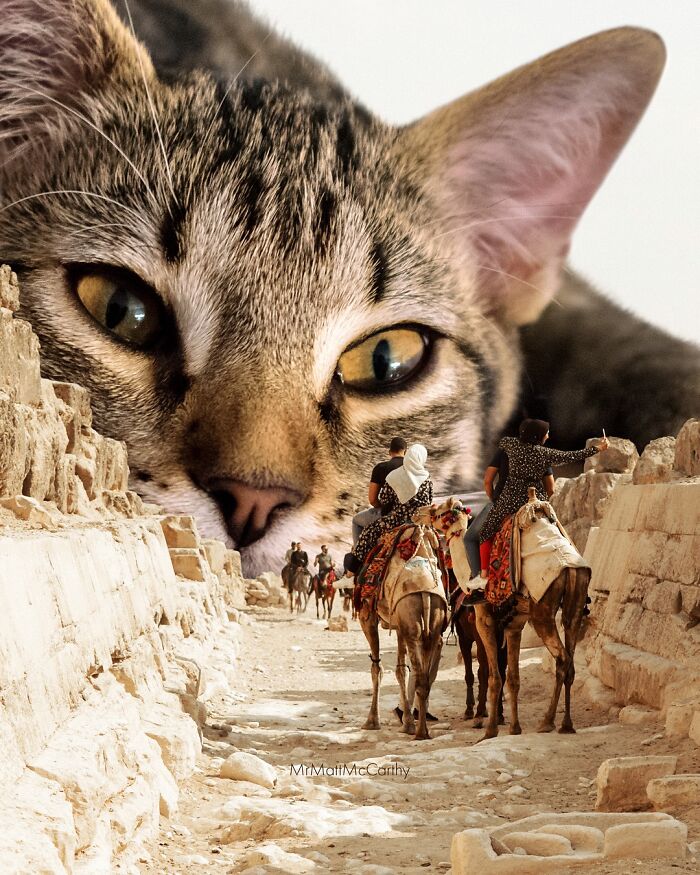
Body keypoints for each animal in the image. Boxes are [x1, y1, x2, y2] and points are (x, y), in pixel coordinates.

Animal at [356, 523, 447, 740]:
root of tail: (425, 592)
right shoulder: (399, 625)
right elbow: (400, 670)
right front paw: (406, 722)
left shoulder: (367, 617)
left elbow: (377, 668)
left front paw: (372, 721)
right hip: (430, 627)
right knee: (423, 679)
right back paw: (422, 730)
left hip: (411, 624)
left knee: (418, 676)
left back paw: (420, 732)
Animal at [423, 494, 590, 741]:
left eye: (437, 510)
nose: (420, 512)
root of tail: (570, 566)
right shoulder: (514, 625)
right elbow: (512, 678)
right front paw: (514, 728)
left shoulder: (484, 622)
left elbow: (492, 676)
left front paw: (490, 729)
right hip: (575, 603)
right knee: (570, 658)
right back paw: (566, 724)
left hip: (542, 612)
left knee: (562, 659)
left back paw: (547, 721)